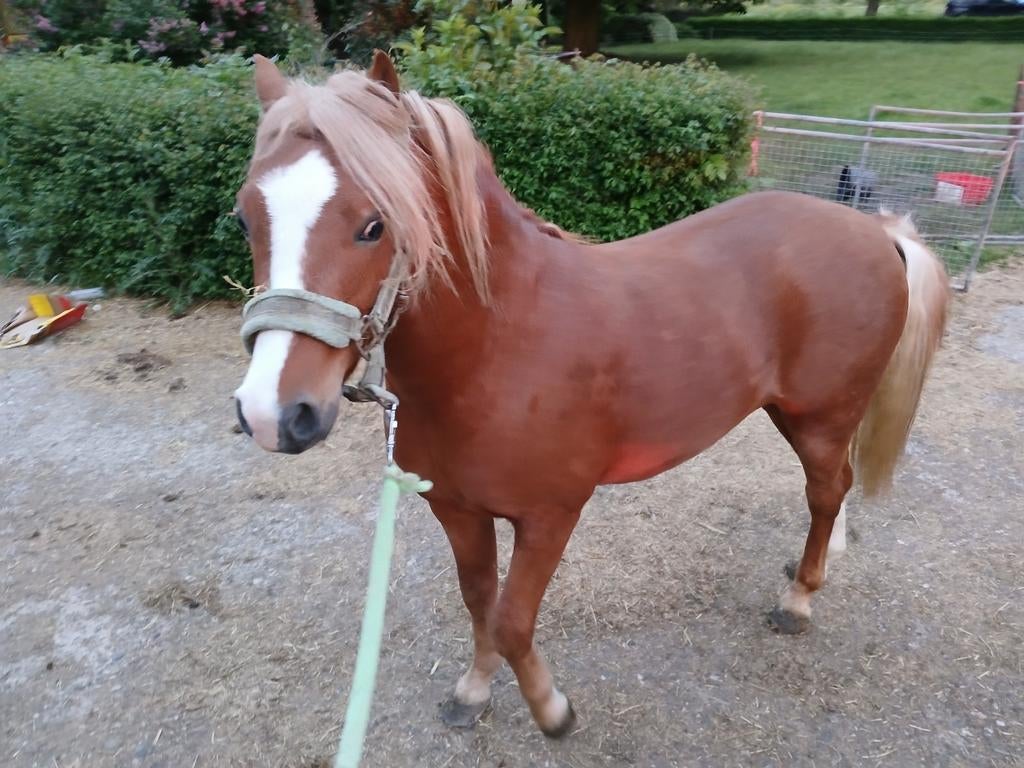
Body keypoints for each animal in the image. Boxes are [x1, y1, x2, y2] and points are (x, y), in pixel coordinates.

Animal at [232, 52, 949, 738]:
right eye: (245, 216)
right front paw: (474, 691)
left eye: (375, 224)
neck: (497, 346)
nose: (273, 414)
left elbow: (513, 620)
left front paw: (551, 710)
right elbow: (481, 603)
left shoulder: (551, 516)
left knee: (827, 491)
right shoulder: (457, 510)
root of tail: (875, 230)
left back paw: (799, 598)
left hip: (818, 416)